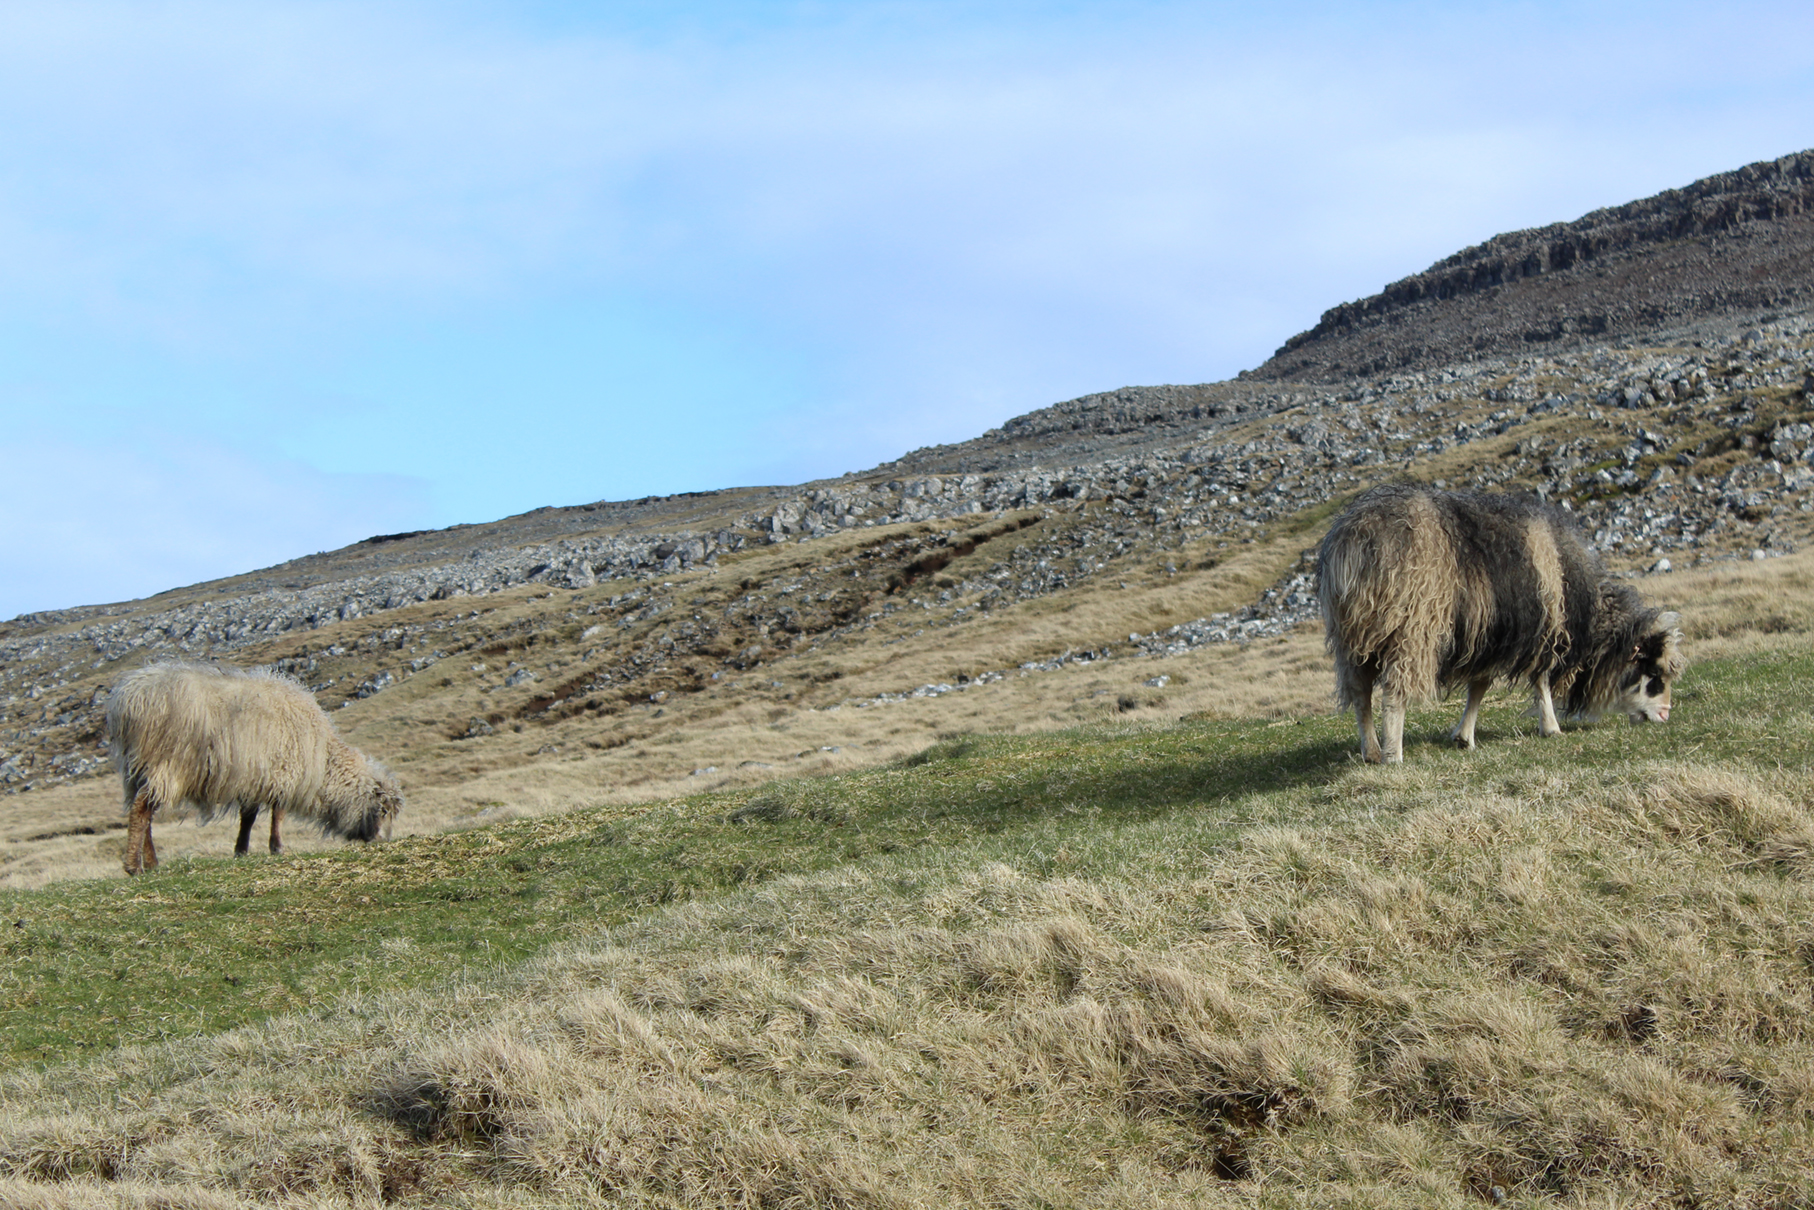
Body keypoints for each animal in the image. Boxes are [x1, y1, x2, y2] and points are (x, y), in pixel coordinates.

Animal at [106, 661, 402, 874]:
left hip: (136, 768)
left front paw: (241, 851)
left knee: (143, 811)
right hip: (167, 764)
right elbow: (278, 815)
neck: (324, 762)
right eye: (383, 810)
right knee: (141, 809)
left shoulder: (255, 780)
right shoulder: (283, 774)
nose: (383, 842)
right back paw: (135, 867)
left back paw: (151, 863)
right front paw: (278, 848)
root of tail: (130, 699)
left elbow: (247, 819)